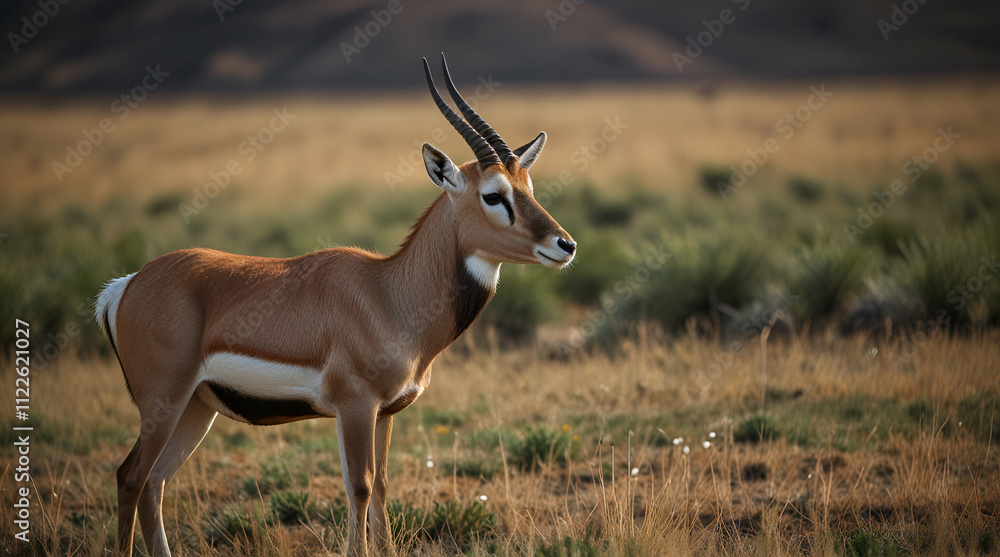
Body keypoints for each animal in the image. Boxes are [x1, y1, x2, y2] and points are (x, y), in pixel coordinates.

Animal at [95, 54, 576, 557]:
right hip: (164, 405)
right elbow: (359, 487)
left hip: (195, 408)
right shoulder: (355, 408)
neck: (389, 294)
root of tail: (127, 284)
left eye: (528, 187)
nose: (565, 245)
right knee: (130, 477)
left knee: (155, 483)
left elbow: (381, 486)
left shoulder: (386, 412)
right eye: (493, 195)